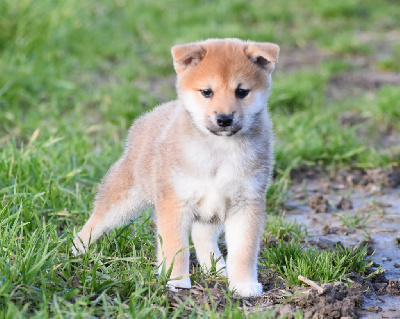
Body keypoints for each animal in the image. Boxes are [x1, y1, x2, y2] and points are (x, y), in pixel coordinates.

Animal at [72, 38, 278, 298]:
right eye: (207, 92)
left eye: (241, 92)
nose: (224, 119)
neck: (218, 151)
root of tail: (150, 115)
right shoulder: (175, 202)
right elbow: (175, 247)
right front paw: (177, 280)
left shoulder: (246, 202)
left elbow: (244, 250)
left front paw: (243, 284)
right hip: (125, 196)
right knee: (97, 220)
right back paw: (77, 248)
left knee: (202, 236)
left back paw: (217, 268)